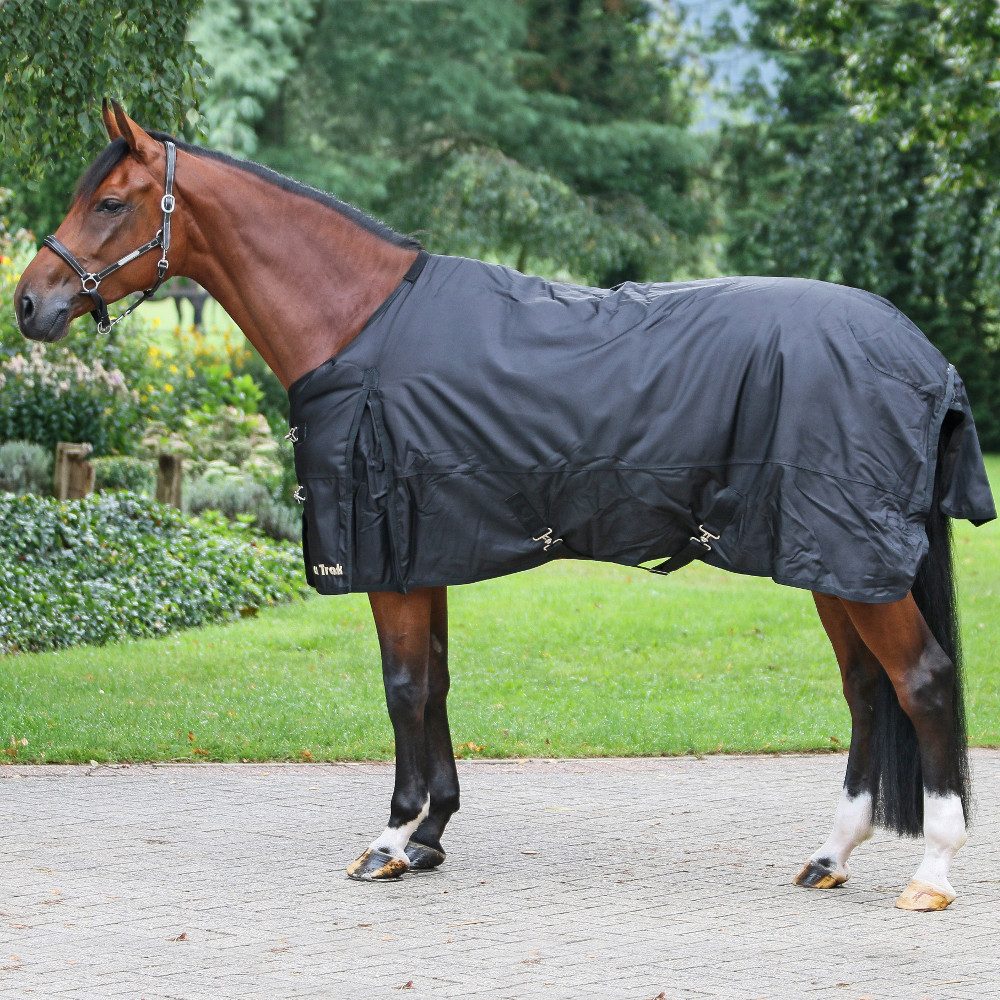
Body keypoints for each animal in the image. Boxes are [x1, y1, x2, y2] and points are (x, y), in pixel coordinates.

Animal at [14, 101, 995, 911]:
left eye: (111, 204)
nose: (29, 304)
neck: (357, 324)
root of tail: (921, 355)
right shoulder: (425, 551)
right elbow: (436, 683)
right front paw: (433, 834)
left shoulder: (388, 558)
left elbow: (404, 688)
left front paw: (390, 838)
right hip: (831, 566)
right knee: (867, 690)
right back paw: (831, 854)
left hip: (854, 562)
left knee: (921, 681)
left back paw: (932, 871)